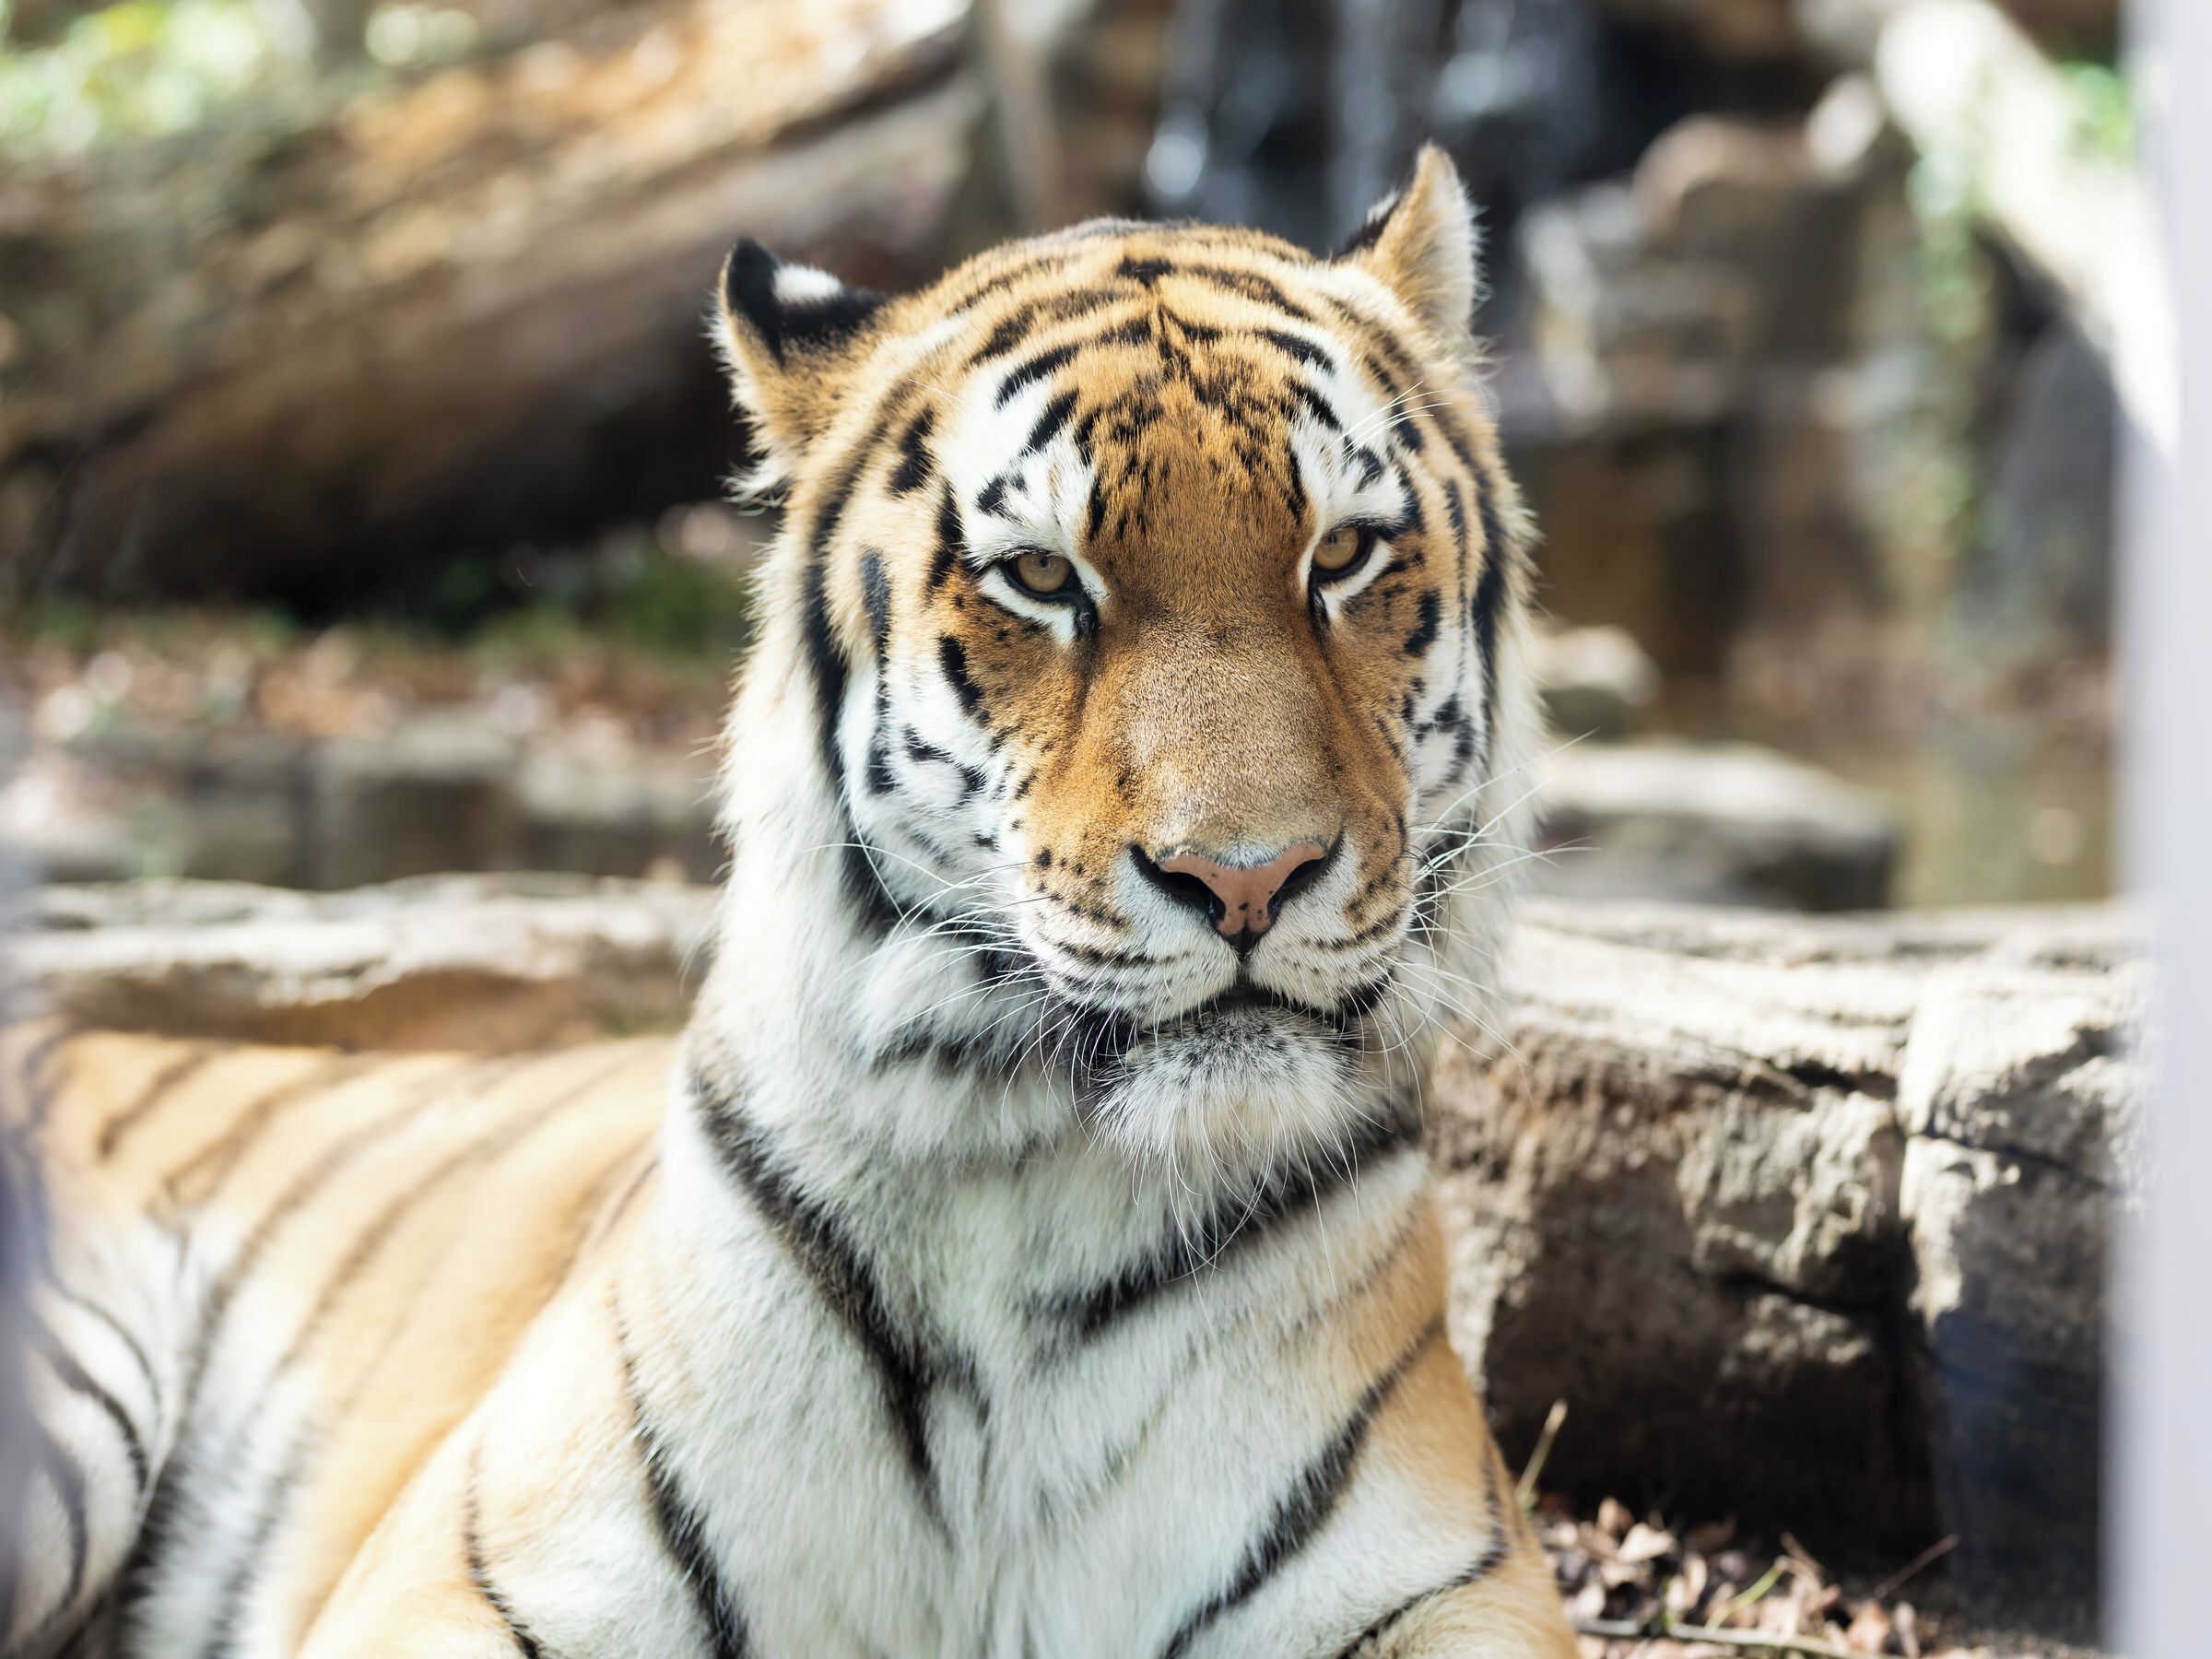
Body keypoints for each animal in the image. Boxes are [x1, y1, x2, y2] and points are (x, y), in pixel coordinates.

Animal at [0, 144, 1575, 1658]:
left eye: (1342, 554)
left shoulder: (1448, 1580)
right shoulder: (477, 1570)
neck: (1041, 1195)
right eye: (1042, 577)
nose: (1245, 877)